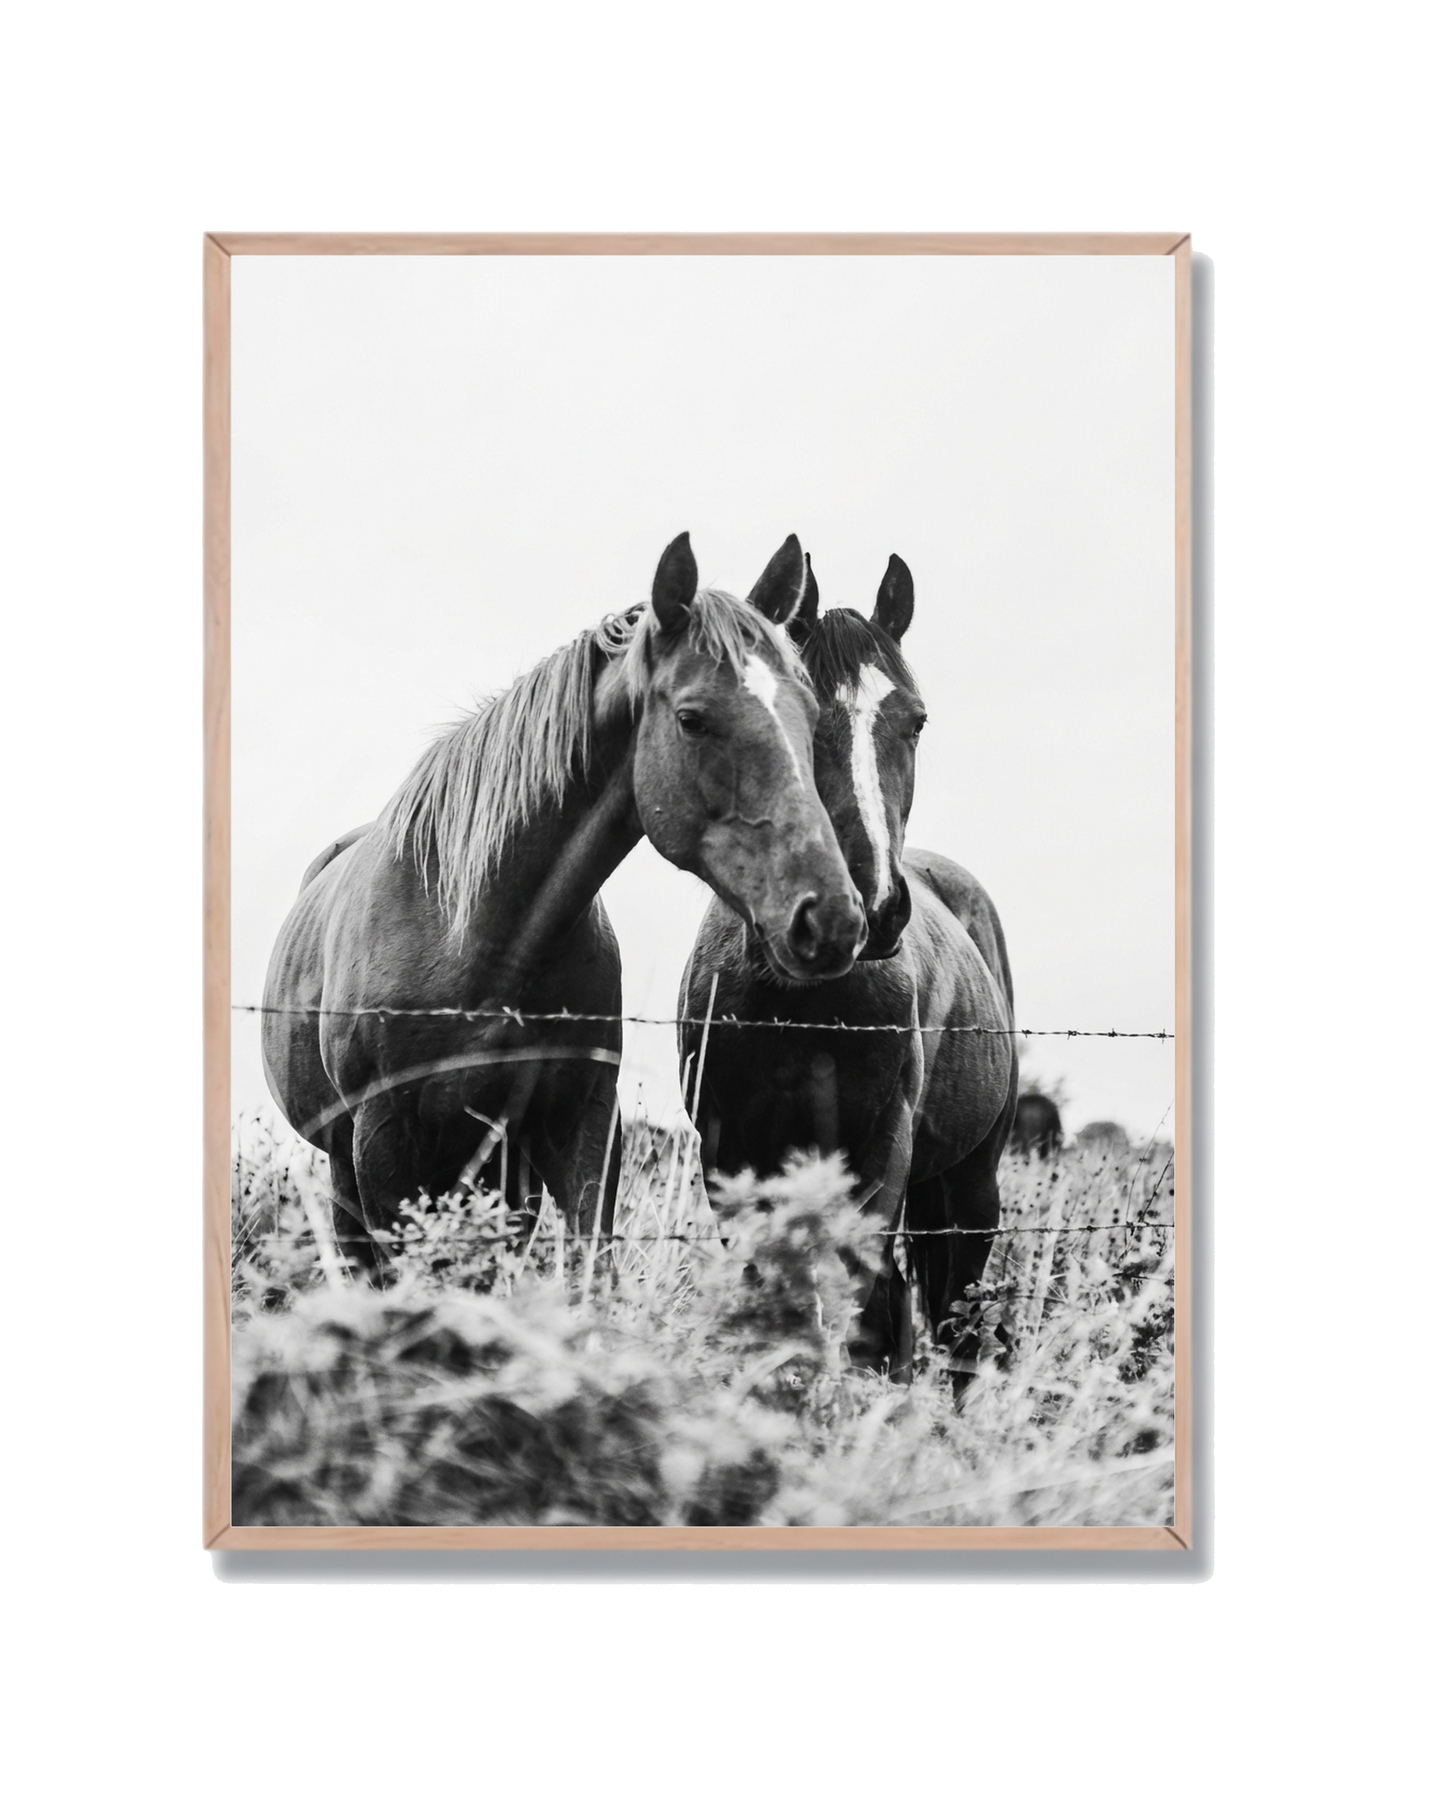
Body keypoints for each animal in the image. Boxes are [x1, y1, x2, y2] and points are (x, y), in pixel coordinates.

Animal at [263, 532, 867, 1273]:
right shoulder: (382, 1147)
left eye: (808, 717)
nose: (831, 918)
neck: (478, 937)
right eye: (692, 719)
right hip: (354, 1169)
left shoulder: (578, 1129)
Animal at [680, 553, 1017, 1379]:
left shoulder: (881, 1150)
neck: (803, 998)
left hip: (970, 1185)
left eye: (915, 720)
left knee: (950, 1321)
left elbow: (861, 1308)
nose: (872, 906)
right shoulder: (729, 1155)